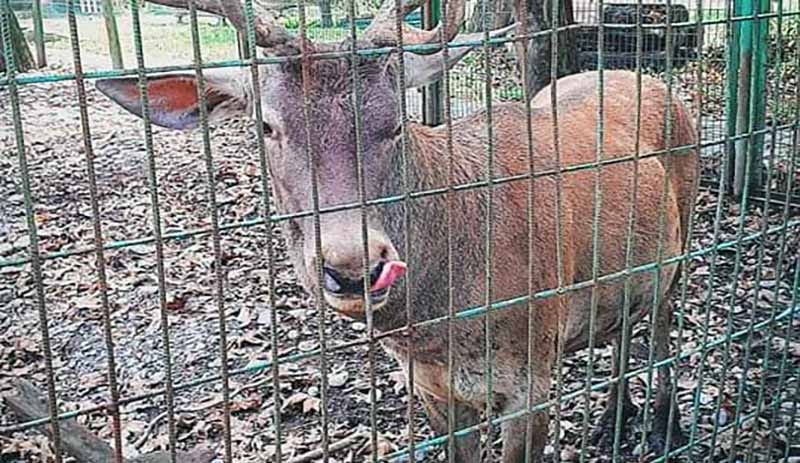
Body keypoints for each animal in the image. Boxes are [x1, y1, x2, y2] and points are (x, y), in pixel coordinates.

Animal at [95, 0, 700, 460]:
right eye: (266, 124)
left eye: (395, 123)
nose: (352, 265)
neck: (440, 328)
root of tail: (651, 79)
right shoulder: (430, 388)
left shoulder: (531, 375)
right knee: (624, 324)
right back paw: (613, 419)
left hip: (683, 233)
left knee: (662, 322)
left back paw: (665, 427)